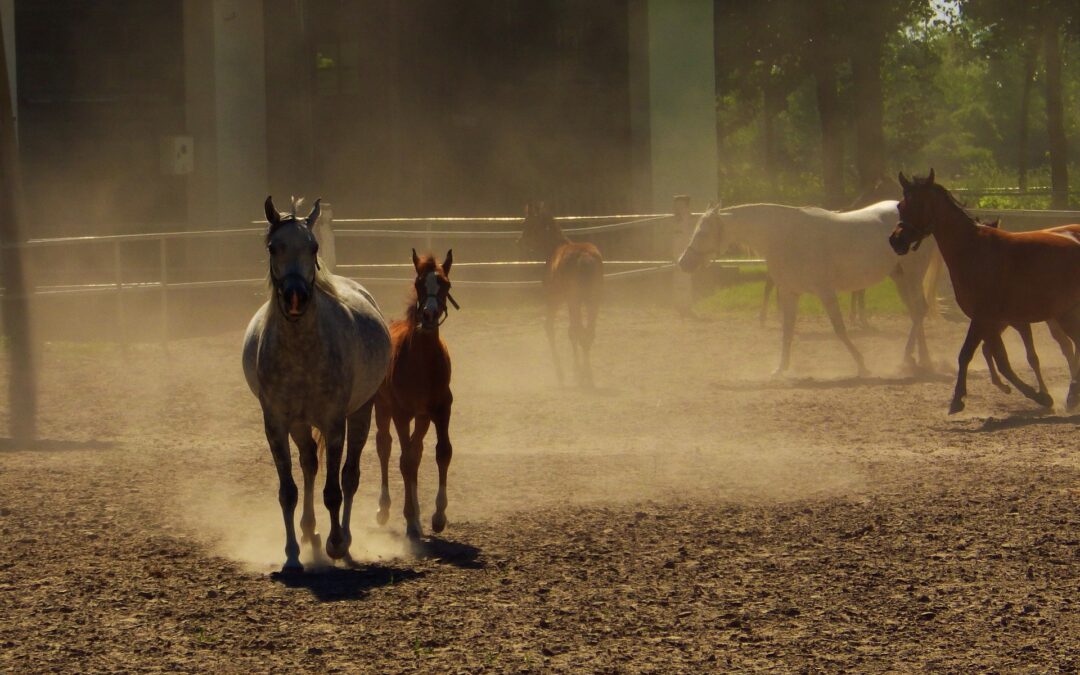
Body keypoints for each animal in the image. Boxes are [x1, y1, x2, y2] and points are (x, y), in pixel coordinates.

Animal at [245, 194, 393, 570]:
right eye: (273, 247)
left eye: (312, 247)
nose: (296, 296)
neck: (300, 352)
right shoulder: (276, 423)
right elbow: (288, 491)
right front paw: (292, 555)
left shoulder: (334, 422)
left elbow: (334, 490)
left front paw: (336, 543)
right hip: (300, 425)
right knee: (309, 464)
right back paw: (308, 532)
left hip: (360, 413)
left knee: (349, 476)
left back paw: (344, 541)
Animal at [375, 250, 455, 540]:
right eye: (419, 283)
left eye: (445, 285)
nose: (429, 315)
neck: (422, 361)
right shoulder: (401, 412)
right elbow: (405, 461)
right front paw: (409, 519)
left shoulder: (441, 409)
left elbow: (442, 452)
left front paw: (438, 516)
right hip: (382, 407)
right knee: (385, 446)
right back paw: (384, 509)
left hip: (422, 418)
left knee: (416, 450)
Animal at [516, 200, 604, 384]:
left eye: (526, 223)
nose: (519, 242)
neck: (554, 248)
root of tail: (585, 258)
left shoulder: (554, 299)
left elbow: (551, 328)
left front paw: (562, 373)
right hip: (592, 300)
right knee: (588, 332)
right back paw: (587, 374)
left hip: (574, 300)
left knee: (577, 331)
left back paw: (580, 373)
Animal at [673, 203, 937, 375]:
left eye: (703, 232)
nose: (683, 263)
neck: (785, 236)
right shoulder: (789, 292)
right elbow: (787, 331)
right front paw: (780, 369)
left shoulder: (824, 291)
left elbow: (839, 329)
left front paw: (862, 365)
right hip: (899, 277)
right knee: (916, 312)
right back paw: (921, 361)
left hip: (912, 275)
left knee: (919, 311)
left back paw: (906, 360)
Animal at [885, 169, 1080, 410]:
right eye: (901, 205)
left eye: (920, 204)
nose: (896, 240)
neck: (973, 249)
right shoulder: (988, 321)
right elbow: (975, 355)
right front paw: (958, 398)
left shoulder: (986, 318)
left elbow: (997, 359)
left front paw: (1040, 396)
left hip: (1064, 316)